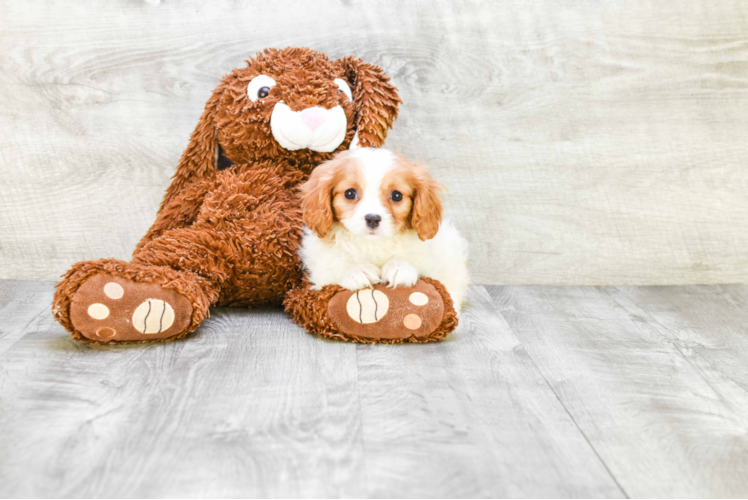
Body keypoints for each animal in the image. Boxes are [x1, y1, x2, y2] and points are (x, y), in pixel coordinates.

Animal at [298, 147, 468, 308]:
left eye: (397, 195)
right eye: (350, 193)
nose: (372, 219)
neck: (373, 244)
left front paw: (400, 267)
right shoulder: (320, 266)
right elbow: (333, 264)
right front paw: (355, 271)